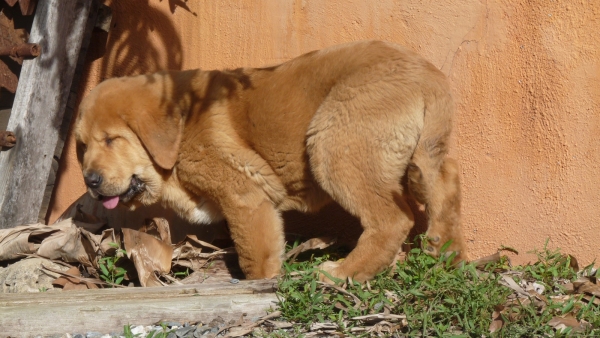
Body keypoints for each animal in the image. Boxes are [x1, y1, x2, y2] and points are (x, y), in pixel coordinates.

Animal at [76, 40, 468, 282]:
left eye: (111, 140)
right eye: (81, 146)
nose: (89, 181)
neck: (183, 126)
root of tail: (428, 74)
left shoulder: (244, 196)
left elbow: (255, 255)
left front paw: (258, 284)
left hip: (334, 145)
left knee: (392, 218)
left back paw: (343, 273)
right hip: (416, 155)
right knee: (446, 181)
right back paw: (446, 255)